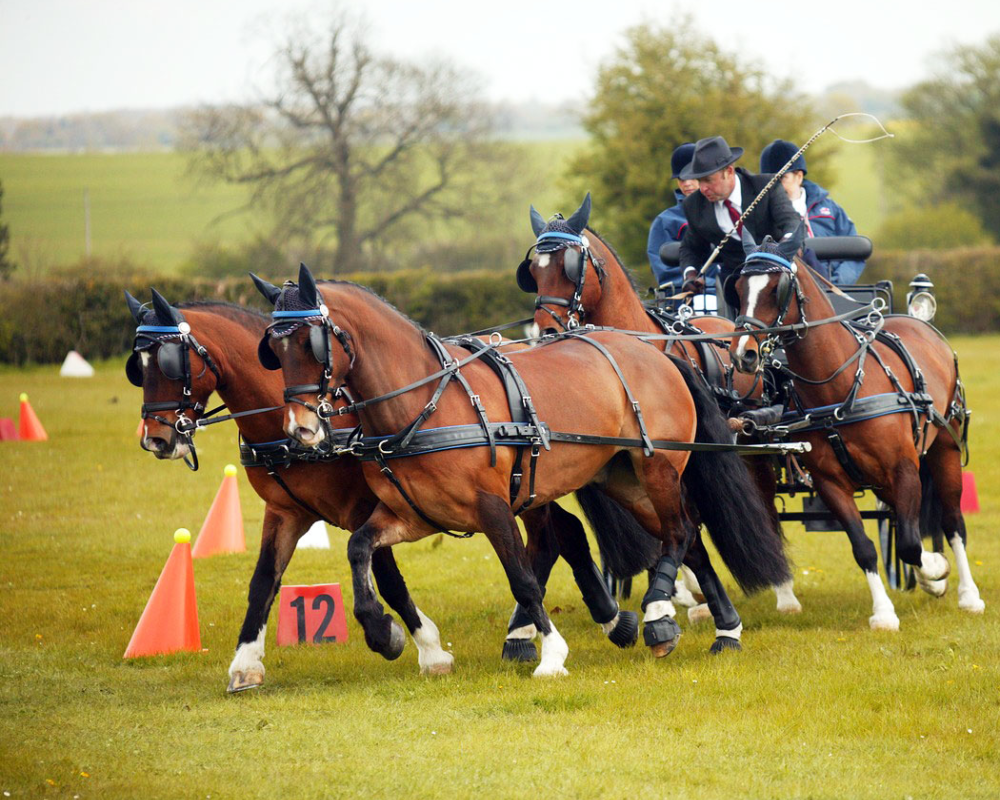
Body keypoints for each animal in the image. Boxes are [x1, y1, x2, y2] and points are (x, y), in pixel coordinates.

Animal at [125, 290, 640, 684]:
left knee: (557, 536)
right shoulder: (285, 513)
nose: (155, 438)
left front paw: (417, 645)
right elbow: (263, 583)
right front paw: (246, 663)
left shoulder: (364, 506)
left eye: (167, 363)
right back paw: (593, 621)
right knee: (563, 533)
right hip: (526, 491)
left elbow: (387, 578)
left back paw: (598, 621)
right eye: (138, 366)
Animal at [252, 264, 788, 676]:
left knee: (678, 531)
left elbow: (523, 578)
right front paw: (383, 632)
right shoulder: (412, 516)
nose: (300, 428)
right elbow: (360, 549)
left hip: (656, 467)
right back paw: (724, 629)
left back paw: (658, 613)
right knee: (689, 537)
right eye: (272, 351)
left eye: (311, 344)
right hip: (625, 481)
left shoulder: (492, 508)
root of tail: (654, 351)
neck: (424, 403)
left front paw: (552, 654)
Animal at [520, 195, 800, 620]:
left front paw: (672, 596)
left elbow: (683, 526)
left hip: (751, 449)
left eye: (570, 266)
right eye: (534, 270)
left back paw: (780, 591)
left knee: (761, 503)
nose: (546, 331)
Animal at [728, 230, 984, 624]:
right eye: (738, 288)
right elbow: (863, 547)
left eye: (776, 288)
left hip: (945, 447)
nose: (744, 354)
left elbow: (910, 543)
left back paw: (968, 594)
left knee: (953, 521)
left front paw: (935, 572)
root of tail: (918, 322)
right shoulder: (830, 482)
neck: (840, 385)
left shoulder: (904, 467)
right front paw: (884, 613)